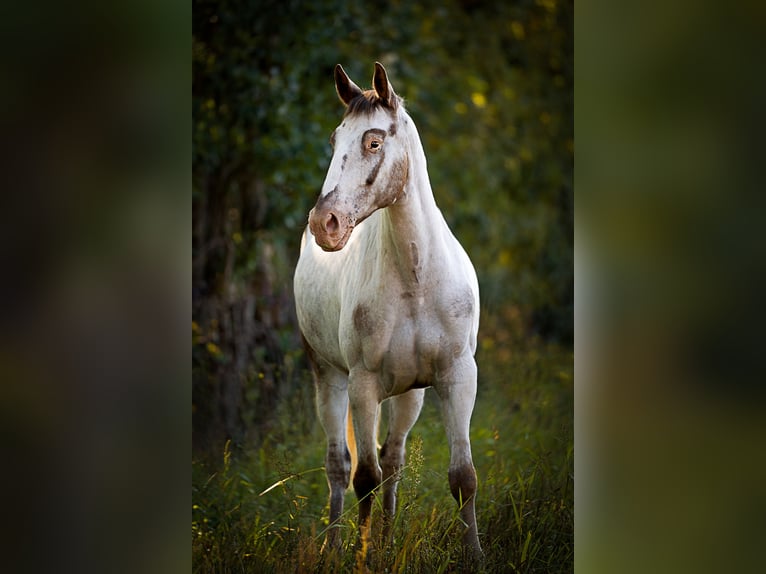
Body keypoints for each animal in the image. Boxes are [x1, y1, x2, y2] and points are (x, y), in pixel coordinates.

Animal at [293, 62, 482, 556]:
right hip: (329, 377)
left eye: (373, 142)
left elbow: (463, 478)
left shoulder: (458, 377)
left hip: (410, 393)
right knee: (339, 466)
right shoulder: (363, 384)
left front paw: (475, 554)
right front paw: (361, 558)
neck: (416, 279)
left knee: (393, 460)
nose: (324, 223)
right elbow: (364, 478)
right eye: (334, 140)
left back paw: (387, 538)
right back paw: (336, 547)